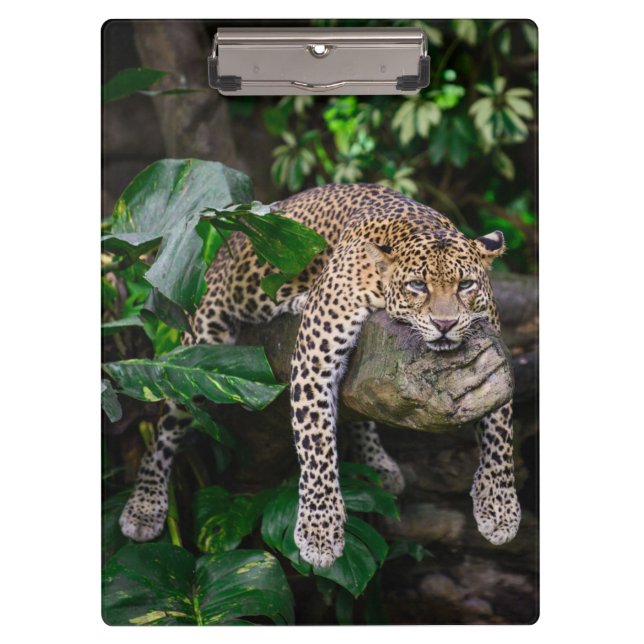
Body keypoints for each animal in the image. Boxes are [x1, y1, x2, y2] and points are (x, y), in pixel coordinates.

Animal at [119, 183, 521, 568]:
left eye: (465, 285)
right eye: (417, 286)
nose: (445, 324)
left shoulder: (496, 357)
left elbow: (499, 432)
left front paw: (499, 508)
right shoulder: (314, 358)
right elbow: (316, 445)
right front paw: (319, 531)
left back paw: (378, 463)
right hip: (198, 344)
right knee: (166, 425)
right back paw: (144, 505)